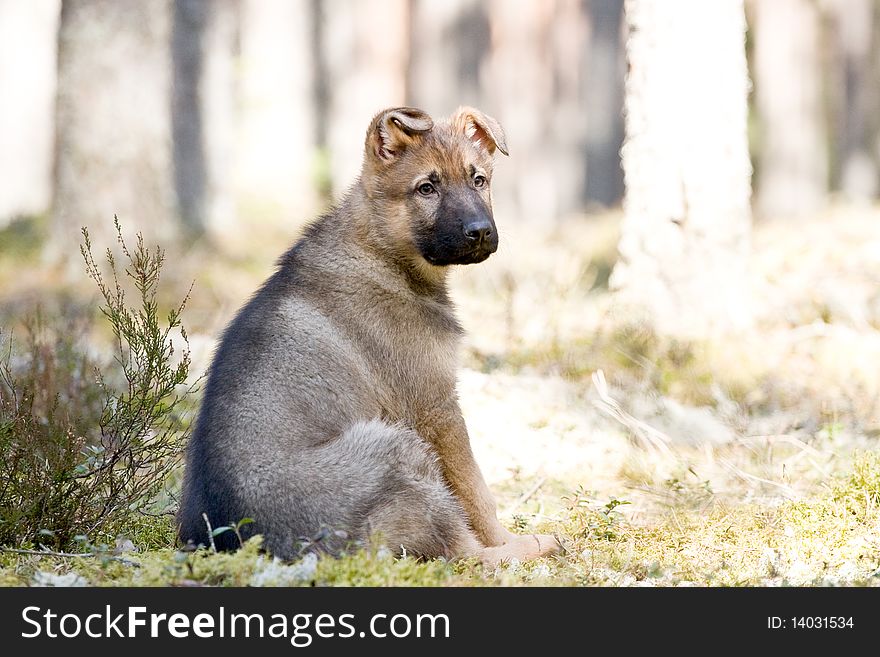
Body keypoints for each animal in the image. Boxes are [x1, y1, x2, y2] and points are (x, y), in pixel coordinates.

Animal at [180, 106, 560, 564]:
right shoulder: (434, 407)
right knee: (460, 552)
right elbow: (476, 493)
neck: (383, 250)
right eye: (427, 188)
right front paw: (505, 538)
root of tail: (244, 542)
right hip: (398, 447)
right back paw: (533, 545)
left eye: (479, 180)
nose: (480, 231)